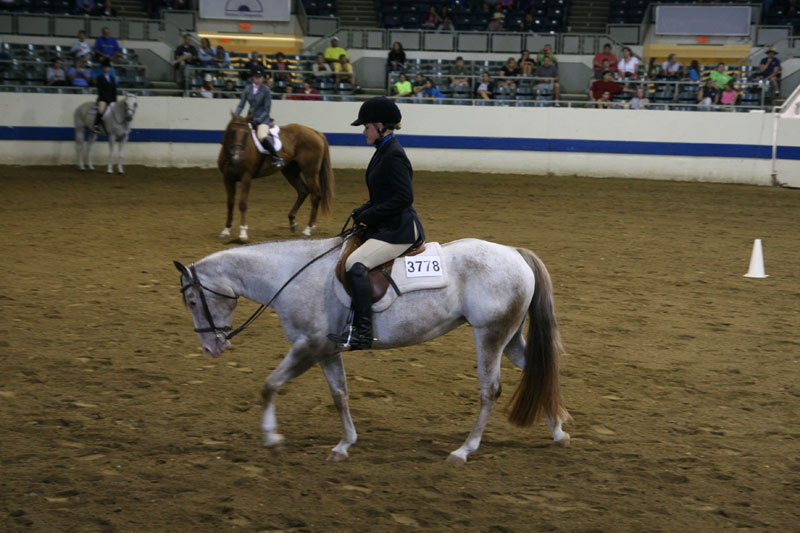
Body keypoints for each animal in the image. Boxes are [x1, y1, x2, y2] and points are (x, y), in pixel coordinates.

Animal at [174, 235, 572, 464]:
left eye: (192, 300)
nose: (211, 347)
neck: (291, 275)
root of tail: (515, 253)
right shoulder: (327, 349)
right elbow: (340, 395)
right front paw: (344, 445)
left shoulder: (309, 345)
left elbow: (270, 385)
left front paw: (272, 439)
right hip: (509, 336)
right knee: (538, 370)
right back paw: (558, 433)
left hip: (489, 335)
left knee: (490, 391)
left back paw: (464, 450)